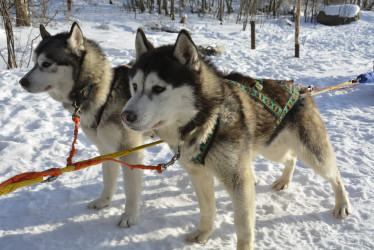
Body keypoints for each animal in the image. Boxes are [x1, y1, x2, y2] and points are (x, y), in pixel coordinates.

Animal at [18, 22, 145, 228]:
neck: (104, 92)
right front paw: (103, 202)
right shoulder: (107, 150)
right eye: (34, 62)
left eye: (46, 64)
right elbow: (108, 180)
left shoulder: (130, 151)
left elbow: (131, 190)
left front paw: (129, 216)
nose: (22, 82)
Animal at [122, 28, 350, 248]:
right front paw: (204, 233)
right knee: (290, 158)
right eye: (134, 85)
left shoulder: (238, 180)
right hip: (272, 149)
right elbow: (207, 209)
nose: (125, 116)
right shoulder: (198, 175)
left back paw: (342, 204)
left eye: (158, 88)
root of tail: (301, 89)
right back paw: (284, 181)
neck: (207, 121)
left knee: (334, 175)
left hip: (312, 154)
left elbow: (243, 225)